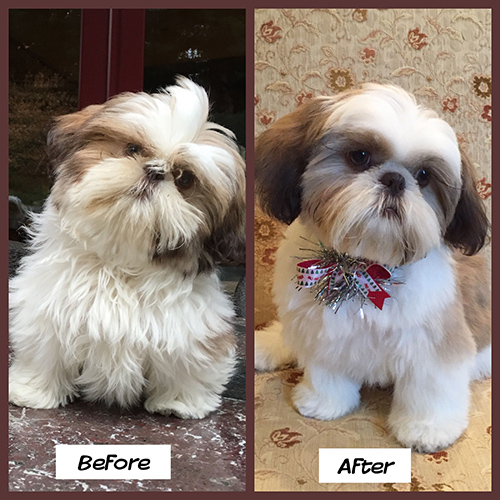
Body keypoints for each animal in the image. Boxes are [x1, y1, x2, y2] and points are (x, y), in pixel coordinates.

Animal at [9, 77, 246, 418]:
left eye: (185, 179)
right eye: (132, 149)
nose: (154, 170)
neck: (120, 260)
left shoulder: (192, 330)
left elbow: (188, 364)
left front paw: (180, 402)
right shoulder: (46, 311)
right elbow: (44, 351)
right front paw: (33, 391)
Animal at [256, 83, 490, 454]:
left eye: (424, 176)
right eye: (360, 156)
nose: (394, 180)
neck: (362, 265)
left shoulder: (434, 342)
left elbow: (431, 385)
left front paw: (427, 427)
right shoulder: (322, 333)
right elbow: (327, 371)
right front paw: (324, 402)